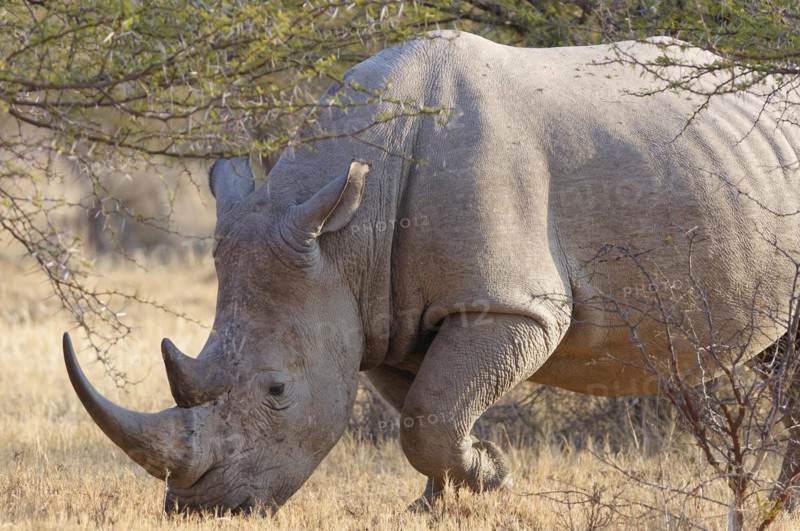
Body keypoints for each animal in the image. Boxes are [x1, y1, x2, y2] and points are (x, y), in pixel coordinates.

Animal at [64, 31, 800, 513]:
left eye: (277, 390)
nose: (202, 508)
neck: (345, 233)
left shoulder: (510, 303)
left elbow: (431, 415)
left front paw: (493, 474)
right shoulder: (379, 311)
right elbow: (423, 411)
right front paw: (444, 500)